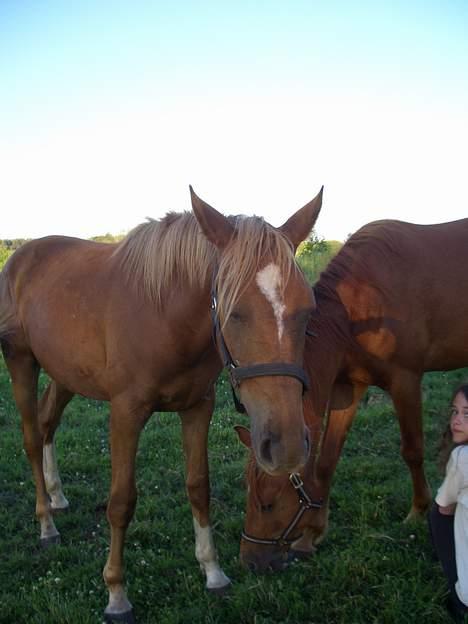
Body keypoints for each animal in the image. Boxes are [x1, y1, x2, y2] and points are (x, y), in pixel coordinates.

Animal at [0, 186, 322, 624]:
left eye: (307, 311)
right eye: (235, 312)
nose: (286, 448)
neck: (164, 315)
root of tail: (21, 256)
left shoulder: (198, 407)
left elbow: (199, 487)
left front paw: (213, 572)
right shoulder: (126, 414)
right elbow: (121, 501)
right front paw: (116, 594)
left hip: (66, 374)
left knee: (49, 422)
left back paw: (58, 496)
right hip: (21, 362)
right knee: (33, 437)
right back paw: (46, 523)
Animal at [234, 217, 468, 572]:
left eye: (269, 503)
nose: (250, 560)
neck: (360, 305)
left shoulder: (405, 381)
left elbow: (412, 450)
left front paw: (417, 510)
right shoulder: (348, 388)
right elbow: (326, 461)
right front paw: (311, 534)